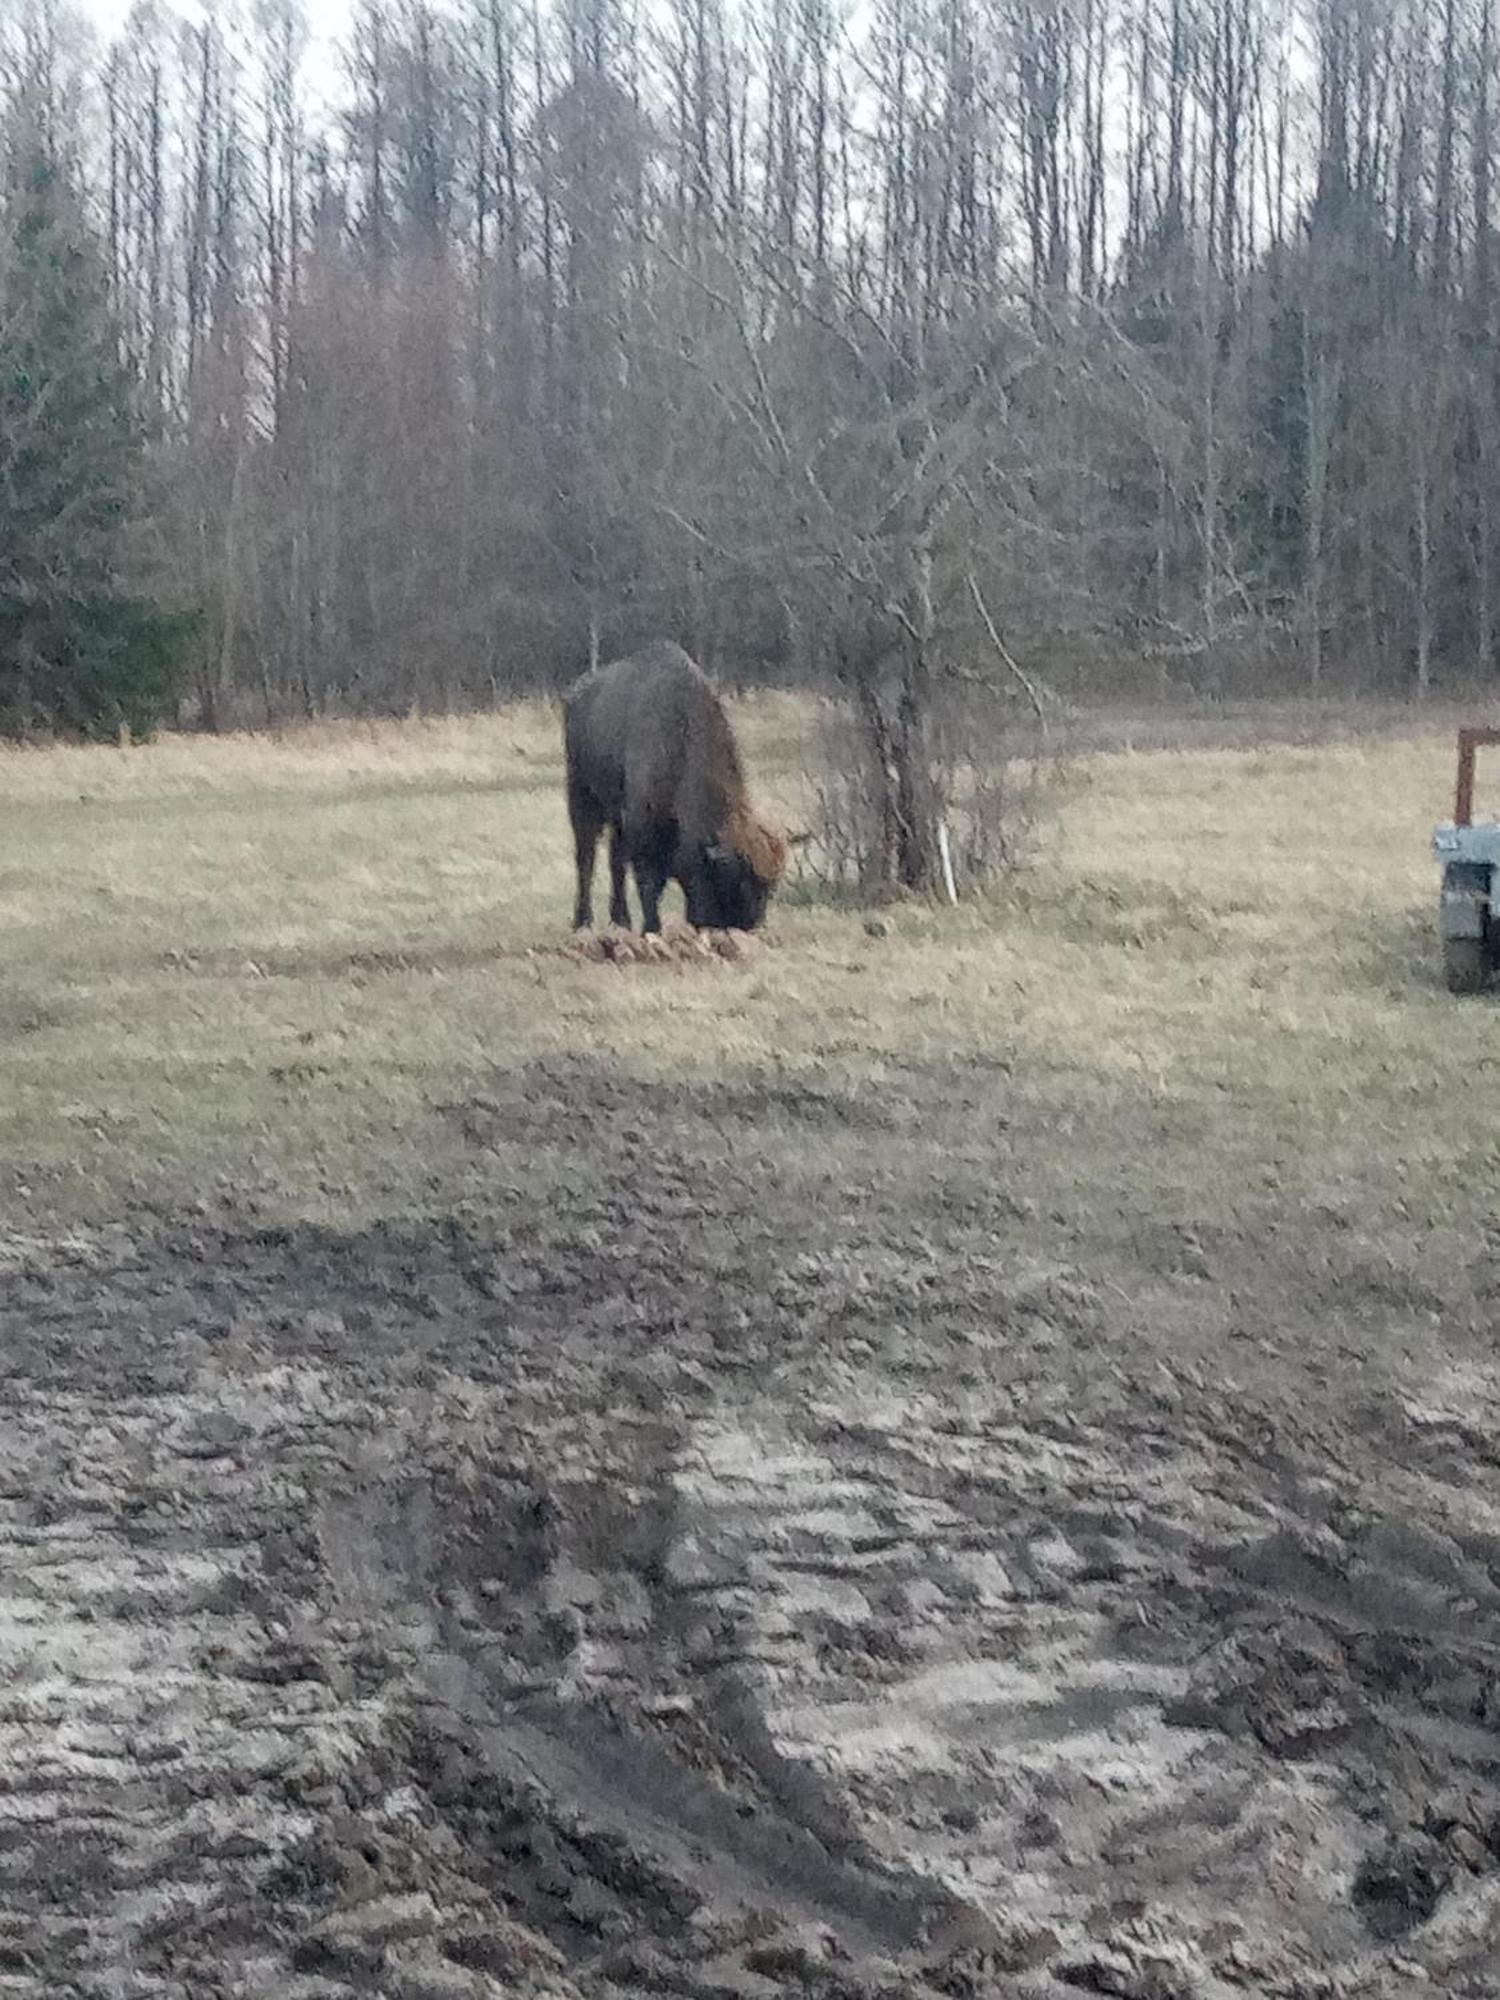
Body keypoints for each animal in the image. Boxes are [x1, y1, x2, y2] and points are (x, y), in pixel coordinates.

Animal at [568, 640, 792, 936]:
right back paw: (583, 921)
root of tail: (577, 693)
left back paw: (621, 920)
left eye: (770, 889)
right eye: (733, 881)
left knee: (615, 861)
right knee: (586, 857)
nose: (749, 925)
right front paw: (652, 928)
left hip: (615, 816)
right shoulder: (644, 834)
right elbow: (649, 886)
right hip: (581, 797)